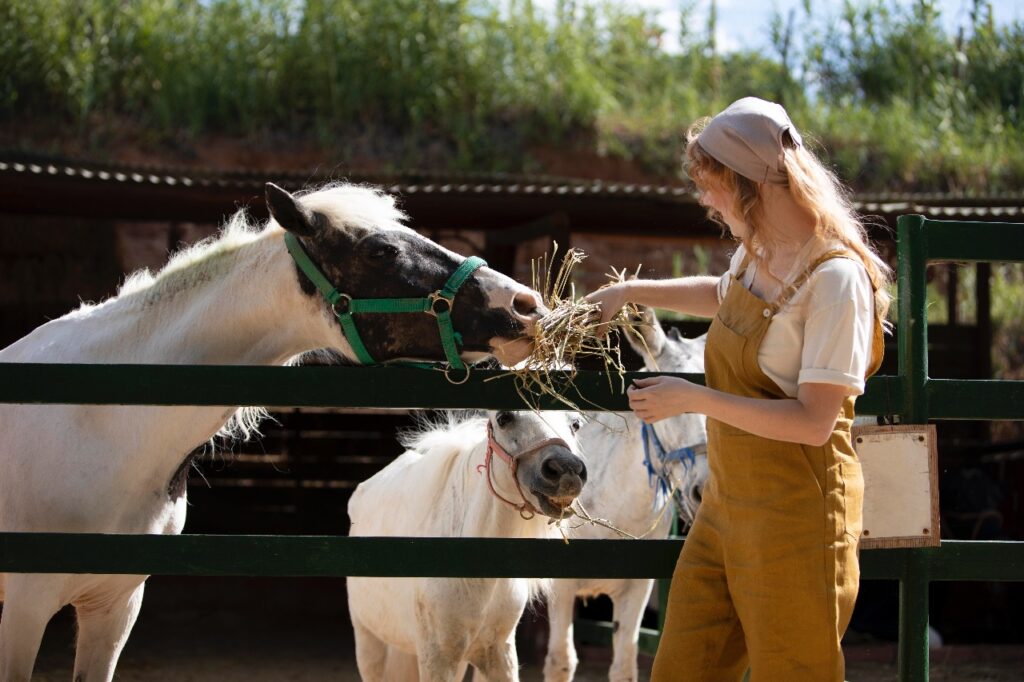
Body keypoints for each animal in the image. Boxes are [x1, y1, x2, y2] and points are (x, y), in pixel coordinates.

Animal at [347, 409, 588, 682]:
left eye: (575, 424)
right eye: (504, 418)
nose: (565, 470)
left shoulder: (498, 655)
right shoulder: (438, 659)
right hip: (370, 643)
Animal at [543, 308, 708, 682]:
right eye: (671, 403)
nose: (704, 491)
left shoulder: (636, 588)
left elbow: (625, 665)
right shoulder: (559, 586)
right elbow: (561, 661)